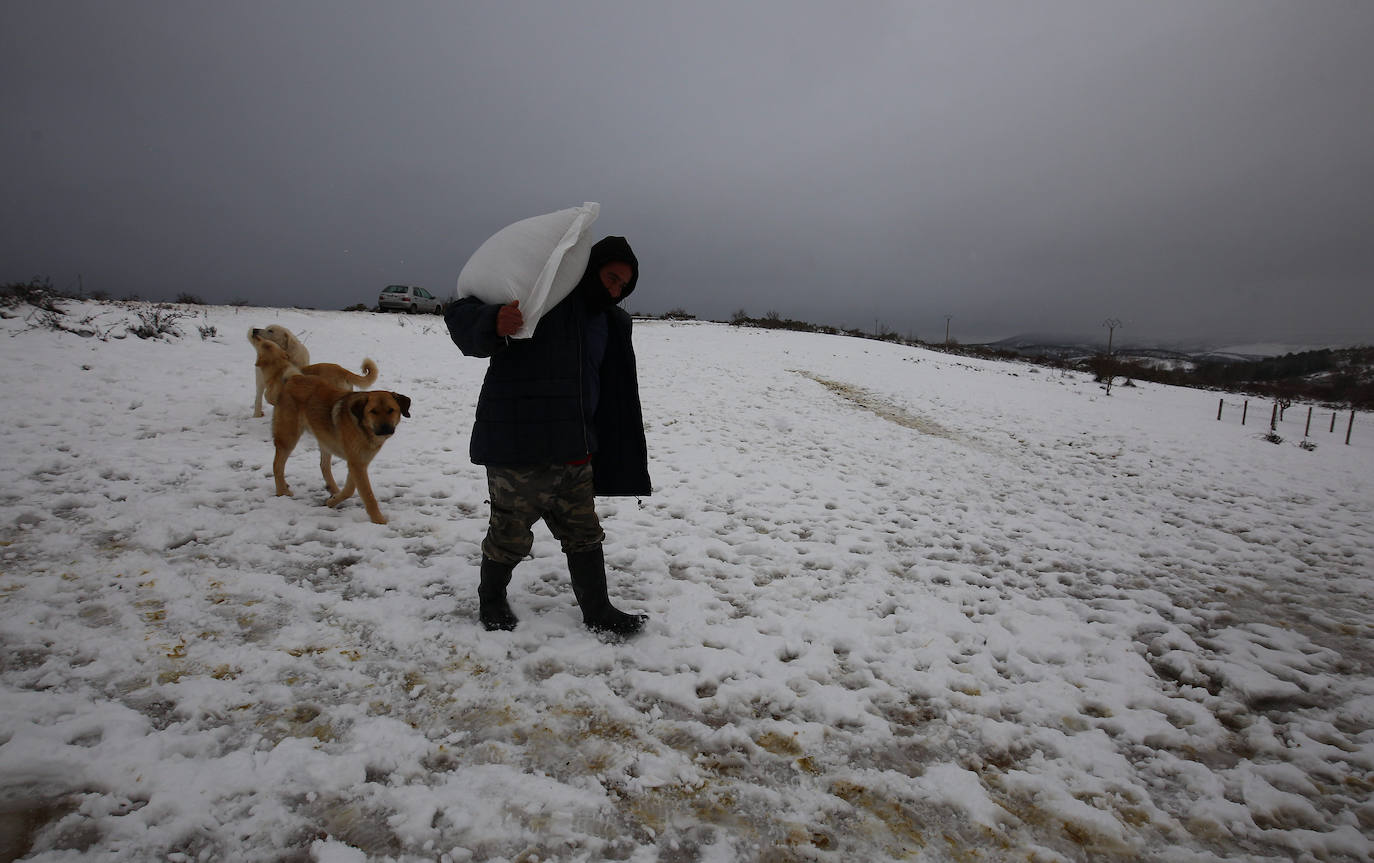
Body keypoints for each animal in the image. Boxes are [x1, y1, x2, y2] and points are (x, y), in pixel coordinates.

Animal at [270, 373, 409, 522]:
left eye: (391, 410)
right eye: (373, 411)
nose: (385, 428)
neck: (363, 428)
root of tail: (293, 377)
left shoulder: (359, 462)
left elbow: (349, 489)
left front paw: (333, 500)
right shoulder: (356, 463)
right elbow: (368, 496)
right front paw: (379, 521)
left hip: (325, 440)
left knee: (323, 465)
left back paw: (334, 489)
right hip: (288, 437)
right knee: (277, 464)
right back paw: (282, 491)